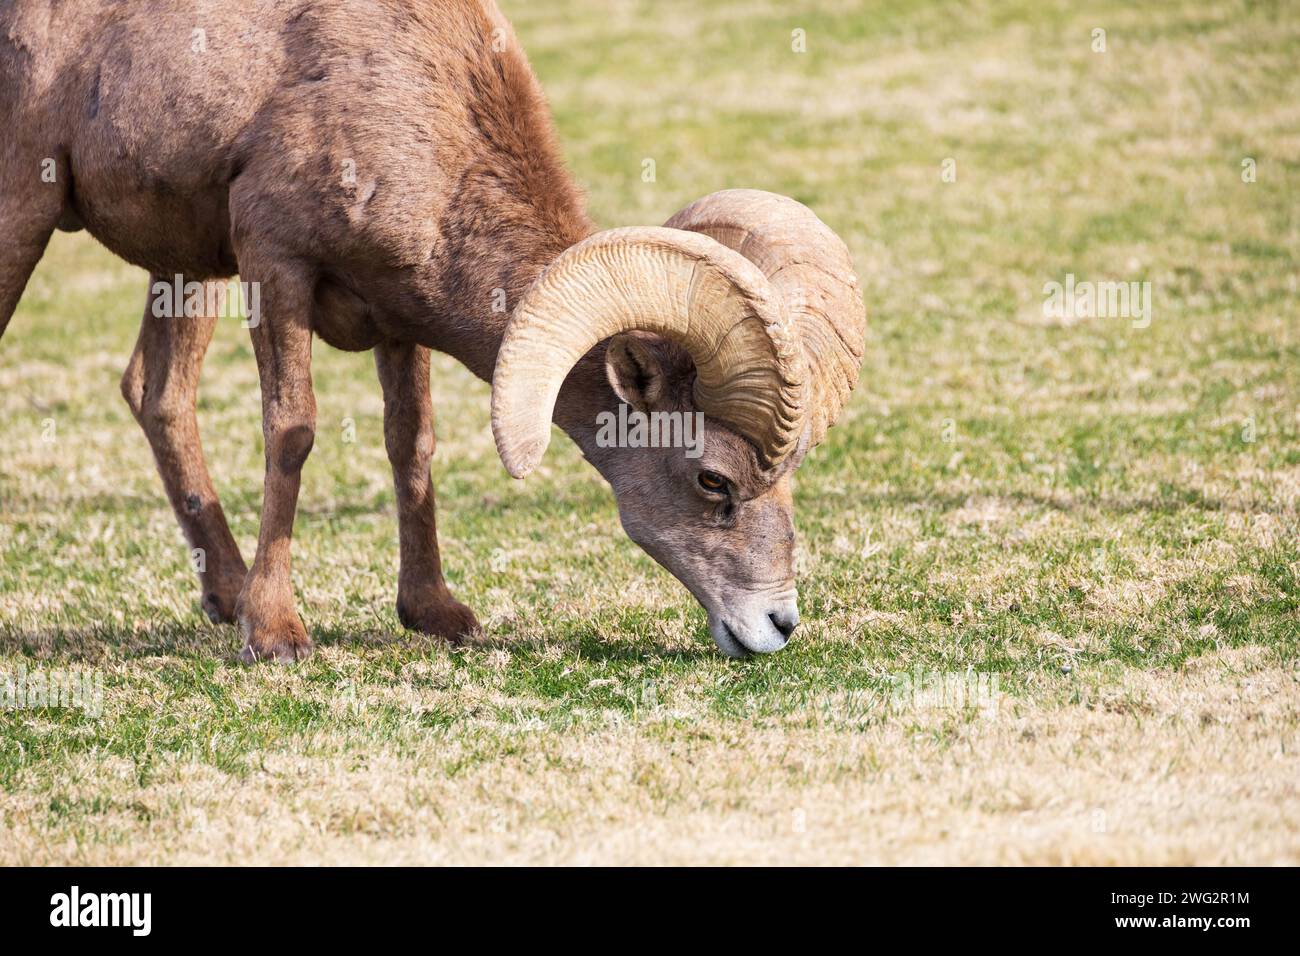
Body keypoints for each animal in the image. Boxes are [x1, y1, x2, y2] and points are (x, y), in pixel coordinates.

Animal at [0, 0, 864, 661]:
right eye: (713, 480)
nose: (778, 624)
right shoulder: (275, 265)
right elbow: (292, 433)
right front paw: (275, 633)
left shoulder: (394, 318)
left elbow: (410, 444)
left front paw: (435, 614)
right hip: (29, 208)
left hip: (185, 270)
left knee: (157, 393)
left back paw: (224, 593)